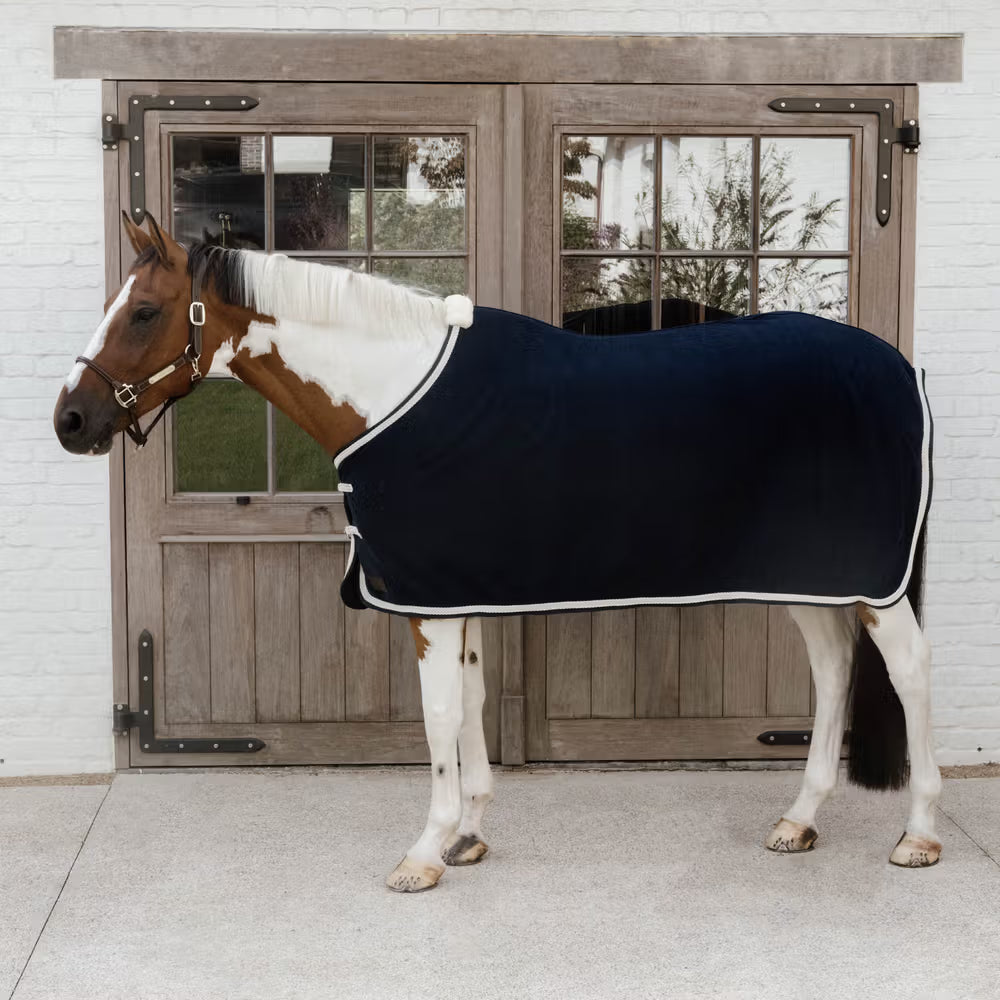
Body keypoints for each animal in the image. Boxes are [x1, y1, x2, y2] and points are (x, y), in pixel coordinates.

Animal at [54, 213, 942, 891]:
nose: (71, 419)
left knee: (907, 670)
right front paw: (468, 836)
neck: (390, 391)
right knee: (832, 667)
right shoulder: (455, 591)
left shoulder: (428, 601)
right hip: (813, 577)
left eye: (144, 312)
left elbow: (441, 715)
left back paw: (920, 834)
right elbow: (474, 703)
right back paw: (800, 819)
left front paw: (423, 853)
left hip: (872, 583)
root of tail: (901, 369)